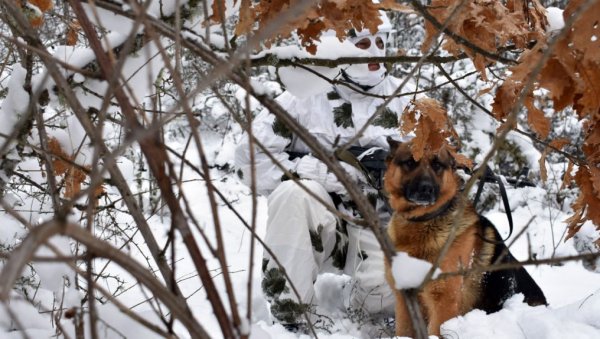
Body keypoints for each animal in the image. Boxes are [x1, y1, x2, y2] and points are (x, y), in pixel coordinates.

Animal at [382, 138, 548, 338]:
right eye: (410, 162)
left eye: (437, 165)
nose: (426, 189)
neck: (423, 222)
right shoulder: (404, 300)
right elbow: (404, 331)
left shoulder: (443, 304)